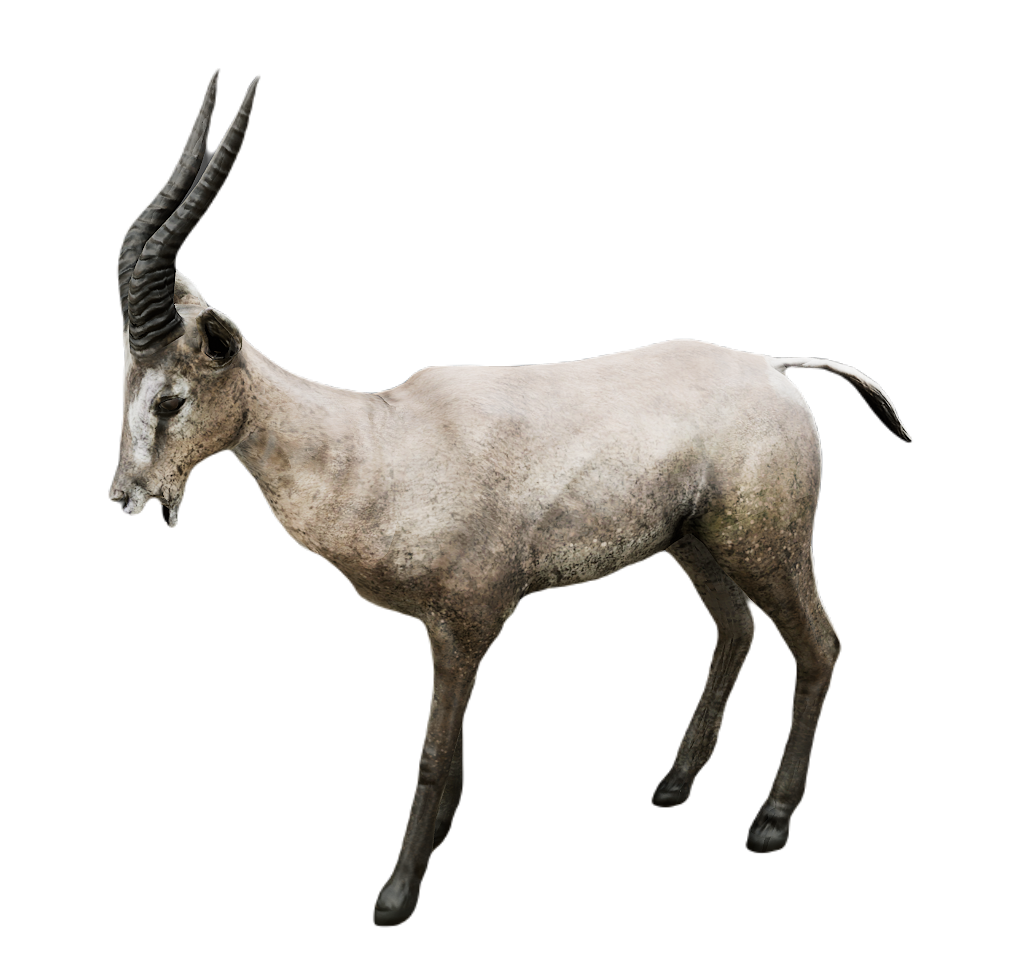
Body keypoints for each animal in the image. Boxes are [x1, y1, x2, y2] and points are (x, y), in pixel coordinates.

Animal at [111, 70, 913, 927]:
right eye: (126, 382)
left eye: (171, 399)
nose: (126, 495)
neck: (376, 442)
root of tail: (772, 366)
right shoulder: (449, 630)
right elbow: (456, 748)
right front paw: (435, 846)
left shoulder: (471, 620)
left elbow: (434, 752)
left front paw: (396, 895)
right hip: (693, 545)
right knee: (736, 630)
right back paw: (672, 785)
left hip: (767, 543)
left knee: (820, 644)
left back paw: (769, 824)